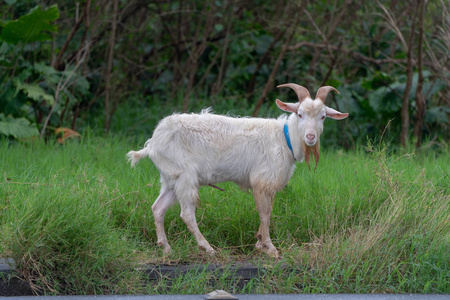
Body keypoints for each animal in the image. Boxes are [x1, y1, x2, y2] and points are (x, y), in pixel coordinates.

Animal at [126, 84, 348, 258]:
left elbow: (267, 212)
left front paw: (259, 243)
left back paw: (166, 248)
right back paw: (207, 248)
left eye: (323, 117)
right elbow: (265, 214)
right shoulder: (261, 181)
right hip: (185, 177)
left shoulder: (268, 186)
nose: (310, 137)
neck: (284, 138)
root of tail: (152, 143)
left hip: (170, 178)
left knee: (158, 208)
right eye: (300, 114)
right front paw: (270, 248)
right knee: (187, 213)